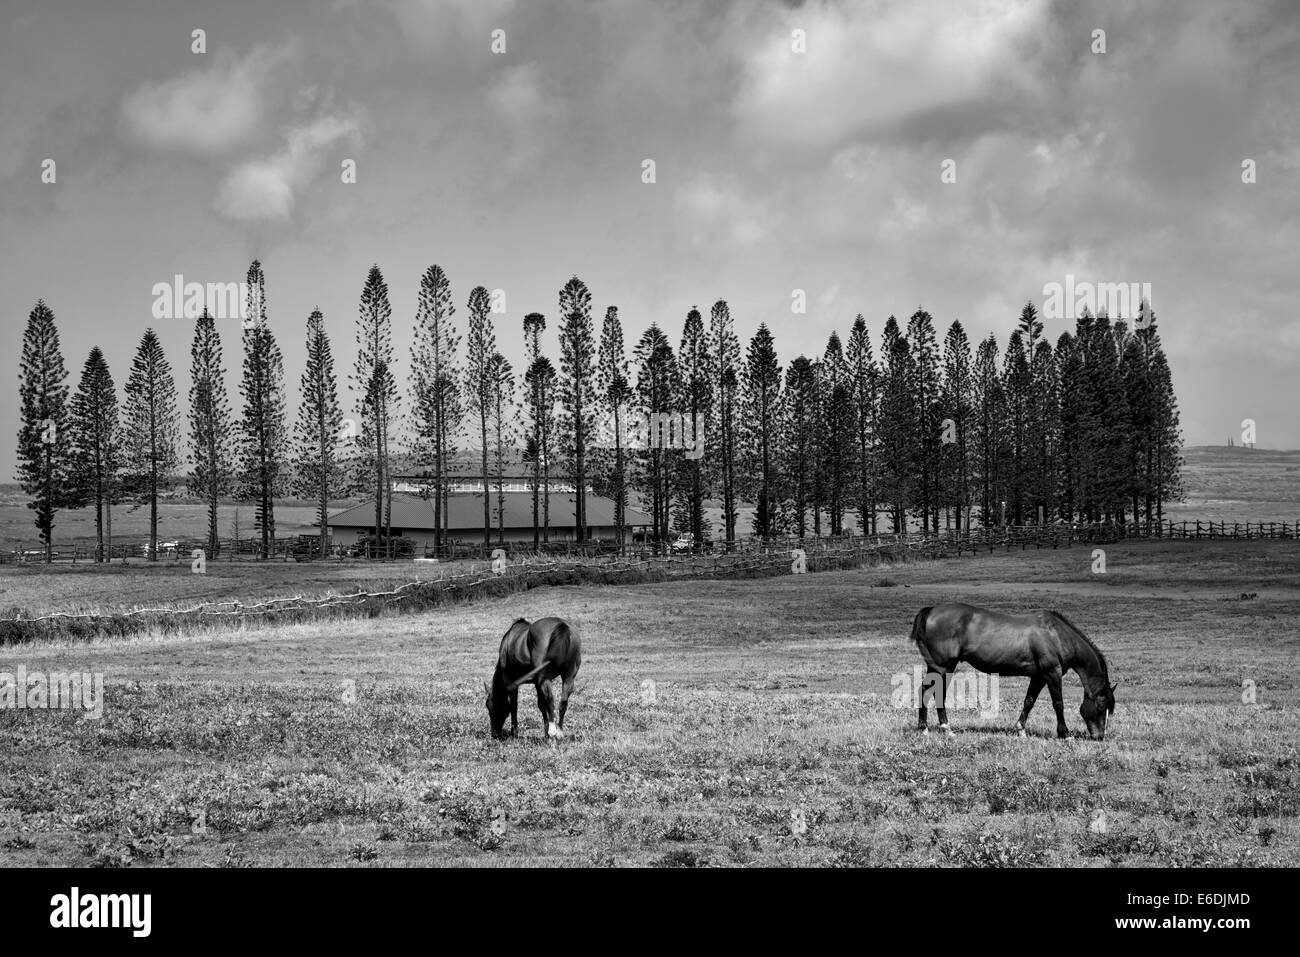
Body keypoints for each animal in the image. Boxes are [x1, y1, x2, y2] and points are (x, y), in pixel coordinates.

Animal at [915, 605, 1118, 738]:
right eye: (1102, 706)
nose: (1100, 736)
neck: (1056, 635)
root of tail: (931, 610)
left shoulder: (1039, 677)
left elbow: (1029, 701)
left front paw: (1020, 729)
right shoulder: (1052, 673)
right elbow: (1058, 703)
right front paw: (1065, 733)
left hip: (940, 667)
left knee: (929, 692)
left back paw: (932, 728)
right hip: (943, 666)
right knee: (932, 692)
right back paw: (938, 728)